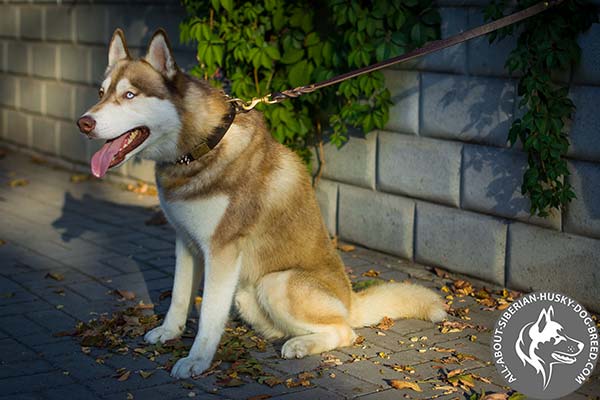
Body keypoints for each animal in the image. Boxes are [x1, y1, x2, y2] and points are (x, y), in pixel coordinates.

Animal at [76, 28, 446, 378]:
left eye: (129, 95)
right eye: (101, 93)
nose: (83, 123)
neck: (200, 147)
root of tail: (351, 300)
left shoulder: (222, 251)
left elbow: (209, 314)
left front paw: (197, 360)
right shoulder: (186, 241)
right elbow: (180, 296)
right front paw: (169, 332)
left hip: (276, 283)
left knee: (346, 332)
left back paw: (301, 344)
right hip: (245, 293)